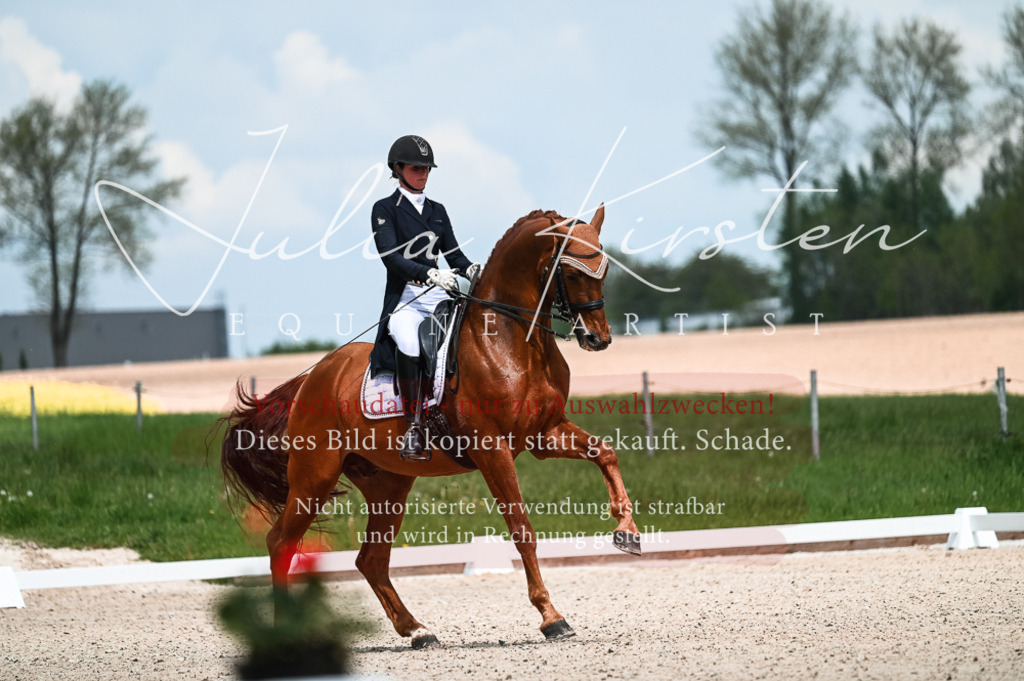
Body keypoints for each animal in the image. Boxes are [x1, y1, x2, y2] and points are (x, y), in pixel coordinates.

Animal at [220, 204, 641, 648]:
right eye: (573, 273)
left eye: (604, 270)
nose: (598, 338)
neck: (511, 340)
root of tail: (313, 376)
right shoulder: (492, 449)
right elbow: (522, 528)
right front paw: (551, 617)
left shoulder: (544, 434)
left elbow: (605, 452)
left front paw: (627, 531)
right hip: (313, 477)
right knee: (281, 543)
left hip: (388, 484)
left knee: (370, 559)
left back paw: (417, 630)